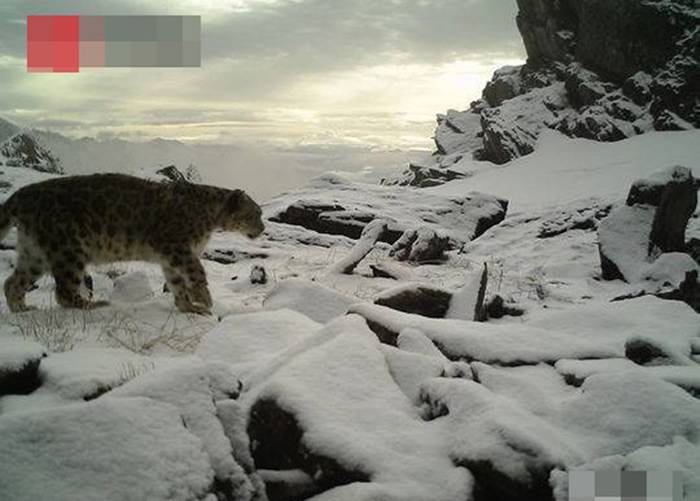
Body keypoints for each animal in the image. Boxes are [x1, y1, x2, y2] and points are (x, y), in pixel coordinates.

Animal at [0, 172, 262, 312]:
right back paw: (94, 305)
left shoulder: (170, 258)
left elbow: (176, 282)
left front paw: (188, 306)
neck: (210, 220)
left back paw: (22, 309)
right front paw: (204, 299)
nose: (262, 228)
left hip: (35, 254)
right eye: (254, 214)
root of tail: (21, 194)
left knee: (12, 282)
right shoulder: (177, 247)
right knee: (63, 290)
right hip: (67, 250)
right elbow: (197, 271)